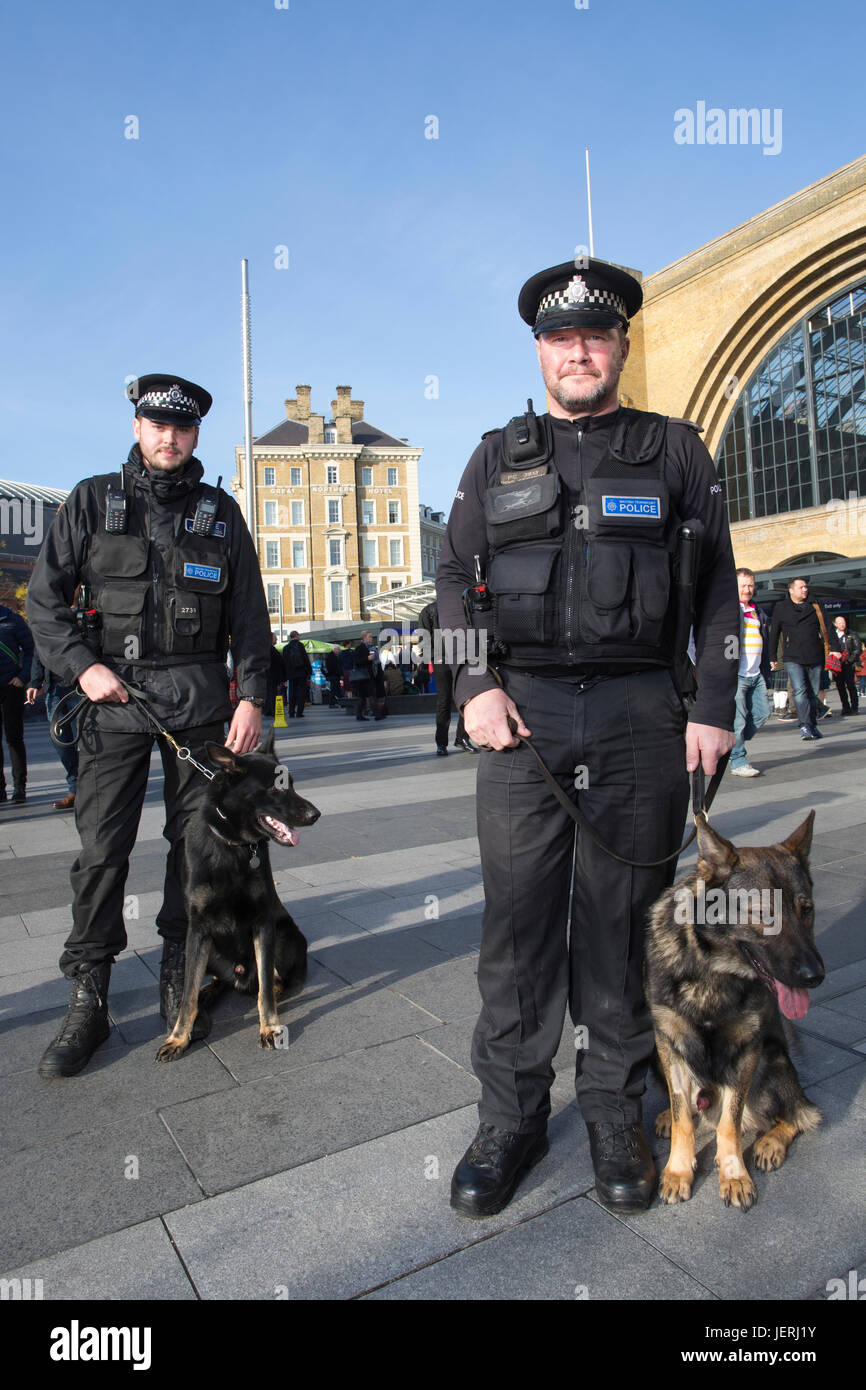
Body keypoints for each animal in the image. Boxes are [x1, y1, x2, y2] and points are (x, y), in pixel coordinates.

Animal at [154, 728, 318, 1061]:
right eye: (276, 787)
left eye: (292, 783)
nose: (316, 814)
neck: (231, 846)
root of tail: (241, 975)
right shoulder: (198, 930)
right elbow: (187, 993)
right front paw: (178, 1036)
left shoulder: (264, 923)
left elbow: (265, 987)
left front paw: (269, 1026)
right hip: (210, 950)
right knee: (215, 981)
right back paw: (208, 992)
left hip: (284, 936)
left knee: (272, 980)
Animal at [650, 811, 828, 1212]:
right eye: (765, 915)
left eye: (806, 911)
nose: (815, 976)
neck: (713, 970)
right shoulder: (668, 1041)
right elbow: (684, 1116)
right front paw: (679, 1169)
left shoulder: (748, 1051)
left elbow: (729, 1125)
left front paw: (733, 1173)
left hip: (771, 1061)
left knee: (798, 1113)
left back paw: (770, 1142)